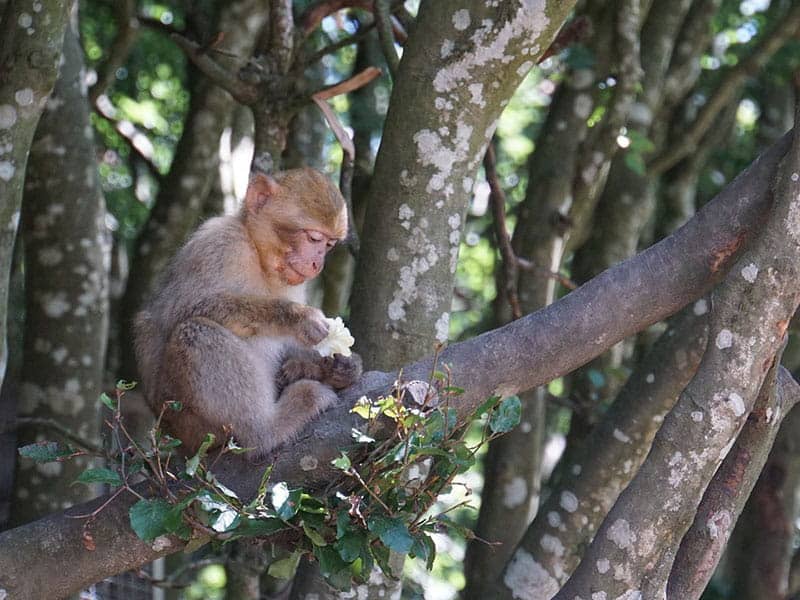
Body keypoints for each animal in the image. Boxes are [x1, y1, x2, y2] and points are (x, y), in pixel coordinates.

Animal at [134, 166, 362, 458]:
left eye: (330, 245)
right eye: (313, 238)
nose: (317, 263)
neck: (257, 253)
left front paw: (336, 366)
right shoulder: (218, 244)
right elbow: (182, 310)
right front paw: (297, 317)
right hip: (188, 421)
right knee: (195, 331)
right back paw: (267, 429)